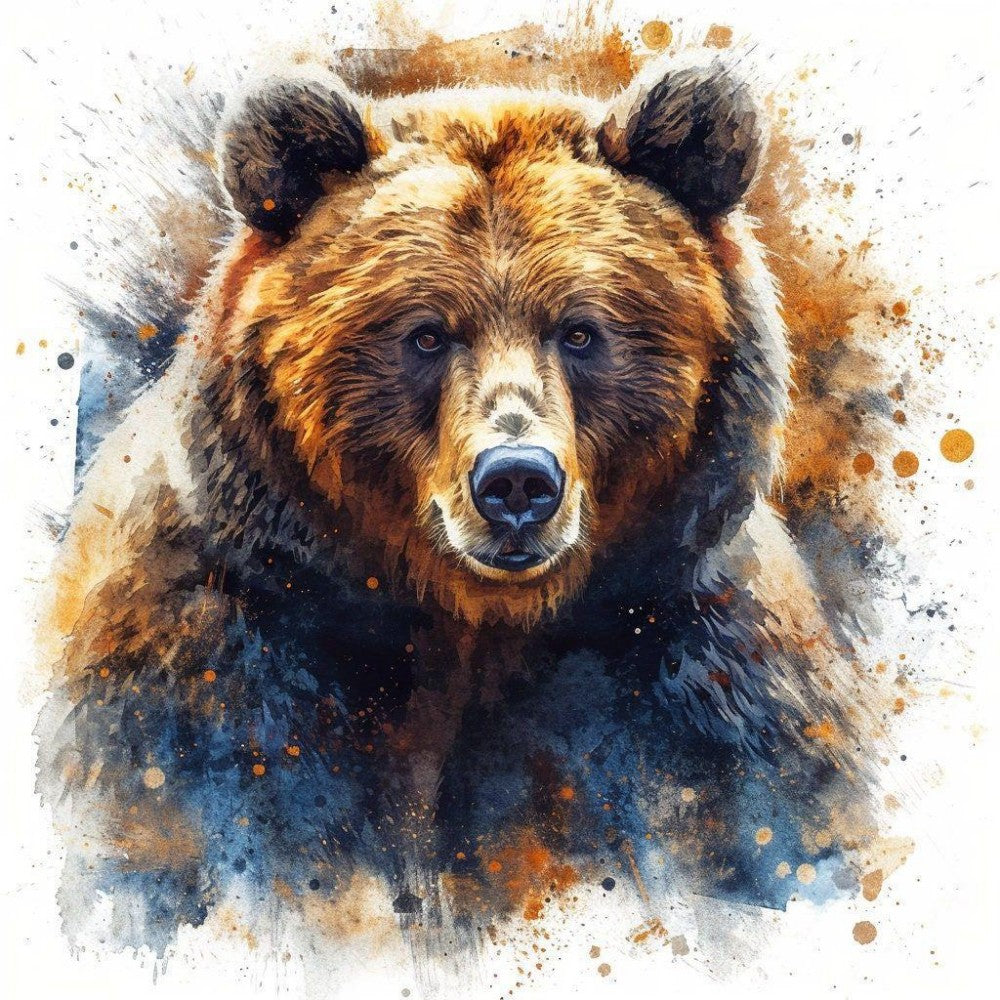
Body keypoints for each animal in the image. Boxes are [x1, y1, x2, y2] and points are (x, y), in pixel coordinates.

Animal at [37, 57, 878, 959]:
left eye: (581, 331)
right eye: (427, 334)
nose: (516, 482)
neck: (469, 623)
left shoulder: (699, 678)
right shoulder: (202, 673)